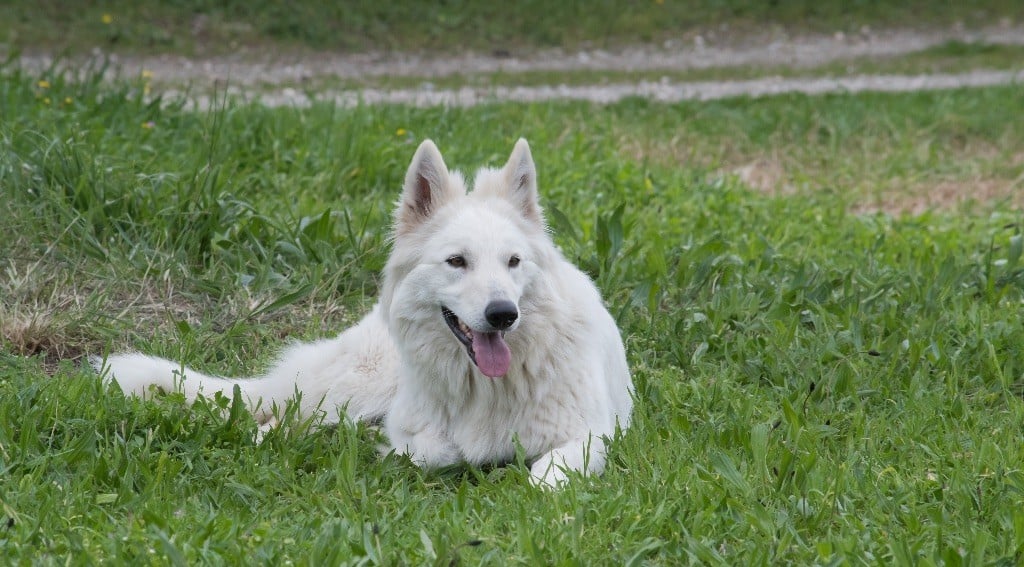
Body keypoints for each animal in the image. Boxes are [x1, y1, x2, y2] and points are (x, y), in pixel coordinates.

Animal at [95, 139, 633, 486]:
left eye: (513, 262)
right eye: (457, 261)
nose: (503, 314)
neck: (485, 386)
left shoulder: (593, 435)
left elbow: (548, 473)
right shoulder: (417, 426)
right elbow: (433, 449)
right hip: (356, 385)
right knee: (276, 419)